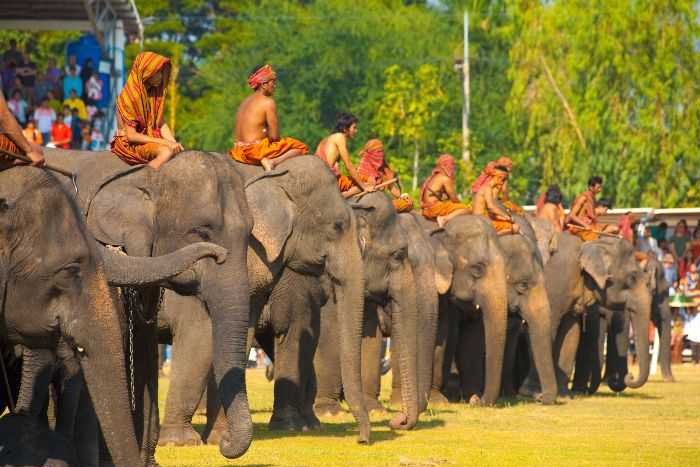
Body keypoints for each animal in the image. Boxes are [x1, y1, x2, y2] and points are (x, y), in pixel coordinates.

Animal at [524, 230, 652, 398]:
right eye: (632, 278)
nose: (629, 376)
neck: (591, 244)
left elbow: (572, 332)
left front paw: (565, 396)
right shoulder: (558, 280)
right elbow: (548, 326)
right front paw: (532, 393)